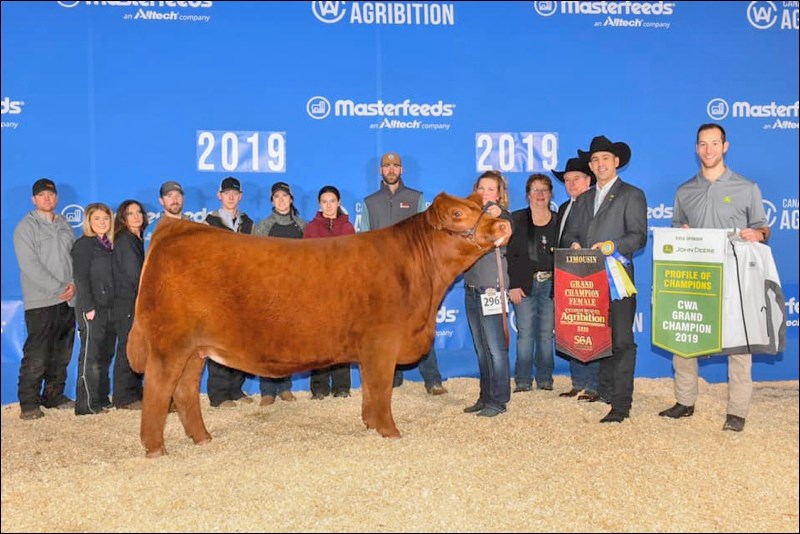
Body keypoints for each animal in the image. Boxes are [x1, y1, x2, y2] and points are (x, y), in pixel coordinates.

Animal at [127, 193, 510, 456]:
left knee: (185, 390)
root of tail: (175, 227)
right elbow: (381, 390)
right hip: (169, 345)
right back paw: (155, 448)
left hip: (195, 350)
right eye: (458, 214)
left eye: (478, 206)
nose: (502, 225)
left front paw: (370, 424)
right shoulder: (382, 343)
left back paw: (202, 438)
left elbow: (370, 390)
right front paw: (390, 431)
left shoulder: (370, 350)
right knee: (158, 389)